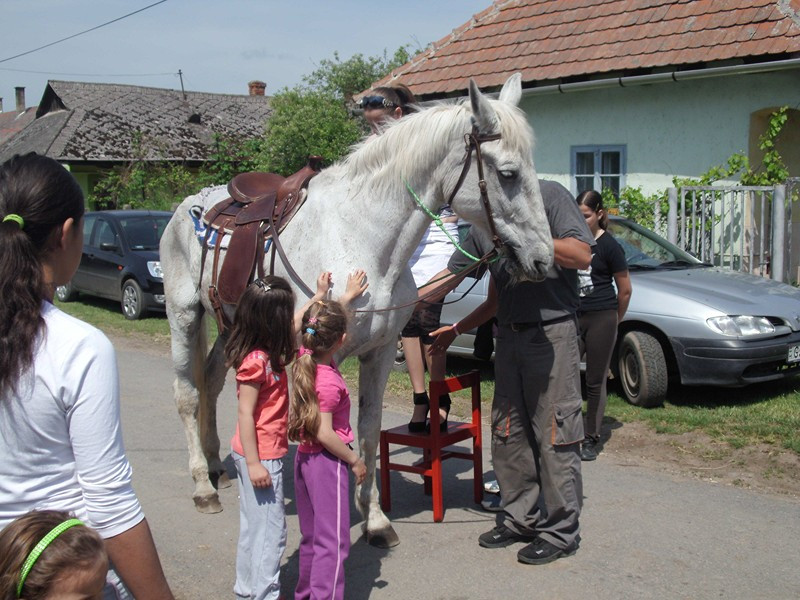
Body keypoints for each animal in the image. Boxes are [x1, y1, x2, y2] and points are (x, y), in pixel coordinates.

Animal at [159, 72, 552, 548]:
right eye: (508, 174)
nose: (543, 260)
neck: (362, 235)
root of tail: (188, 206)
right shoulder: (313, 355)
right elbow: (319, 426)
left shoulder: (379, 354)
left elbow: (366, 428)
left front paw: (375, 518)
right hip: (184, 315)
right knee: (187, 393)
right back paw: (202, 485)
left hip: (229, 322)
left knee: (213, 380)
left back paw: (218, 465)